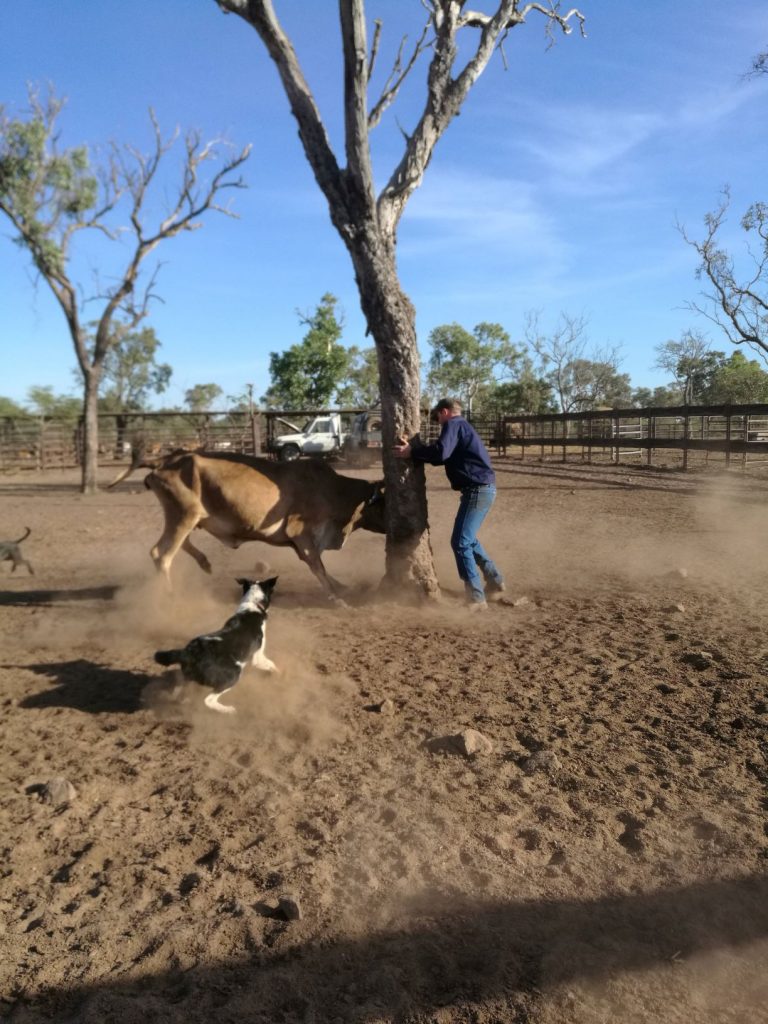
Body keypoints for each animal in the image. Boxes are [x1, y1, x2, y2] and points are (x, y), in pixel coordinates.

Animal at [108, 450, 385, 598]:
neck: (334, 489)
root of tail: (165, 461)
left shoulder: (300, 543)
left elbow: (321, 568)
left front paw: (343, 588)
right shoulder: (302, 535)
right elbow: (319, 568)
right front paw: (338, 598)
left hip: (184, 517)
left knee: (178, 545)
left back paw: (205, 563)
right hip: (184, 515)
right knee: (161, 553)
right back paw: (170, 595)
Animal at [154, 577, 280, 712]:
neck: (253, 606)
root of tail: (189, 653)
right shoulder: (257, 657)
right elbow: (271, 664)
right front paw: (279, 675)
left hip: (187, 677)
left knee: (176, 692)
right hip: (233, 674)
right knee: (208, 700)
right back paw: (228, 710)